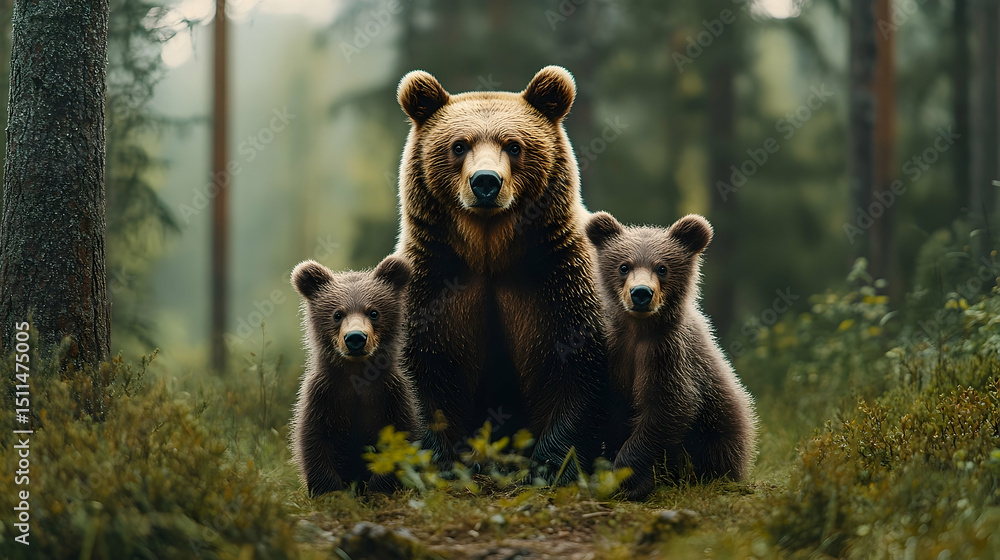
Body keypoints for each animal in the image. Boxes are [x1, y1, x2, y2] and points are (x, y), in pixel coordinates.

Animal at [289, 256, 422, 496]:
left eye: (374, 312)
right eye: (337, 314)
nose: (355, 338)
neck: (357, 374)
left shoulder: (390, 396)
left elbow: (399, 440)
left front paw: (378, 490)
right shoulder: (323, 396)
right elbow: (315, 442)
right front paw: (331, 492)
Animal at [393, 66, 616, 479]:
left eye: (513, 145)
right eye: (459, 145)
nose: (485, 181)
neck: (489, 253)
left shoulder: (557, 283)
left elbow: (578, 370)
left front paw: (550, 466)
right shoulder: (435, 284)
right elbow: (423, 371)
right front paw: (440, 463)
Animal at [585, 211, 758, 500]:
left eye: (662, 268)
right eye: (624, 266)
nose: (641, 293)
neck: (639, 330)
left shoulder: (668, 355)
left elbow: (666, 409)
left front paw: (627, 480)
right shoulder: (615, 352)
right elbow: (613, 412)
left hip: (721, 432)